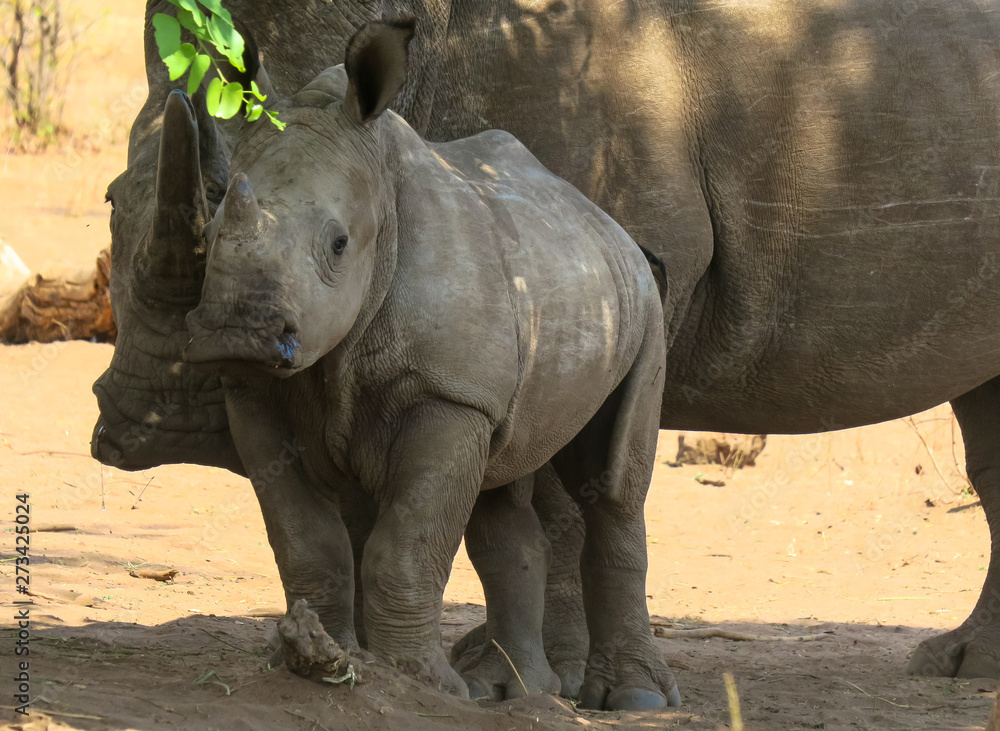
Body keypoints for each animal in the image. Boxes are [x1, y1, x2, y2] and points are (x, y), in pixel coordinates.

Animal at [93, 0, 1000, 698]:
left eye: (339, 243)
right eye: (111, 202)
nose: (144, 424)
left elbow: (550, 495)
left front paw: (539, 681)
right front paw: (379, 658)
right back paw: (962, 667)